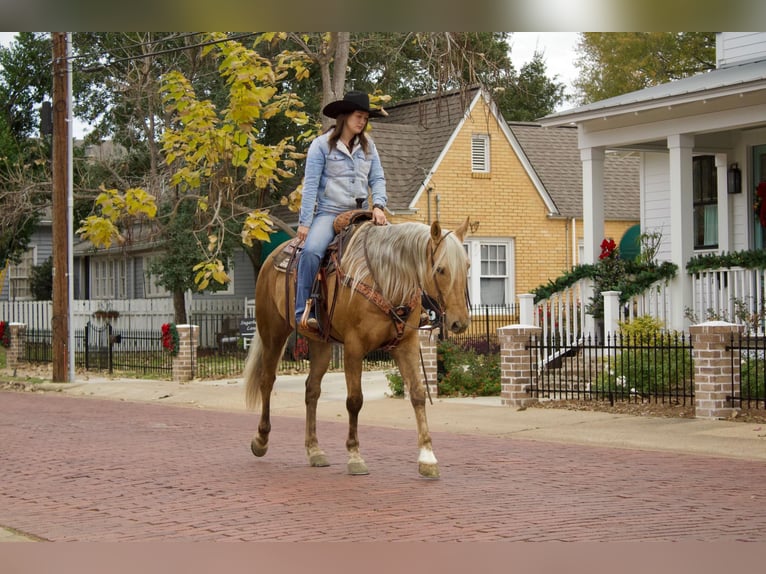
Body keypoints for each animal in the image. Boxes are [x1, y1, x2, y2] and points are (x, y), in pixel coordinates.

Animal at [246, 218, 472, 480]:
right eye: (440, 270)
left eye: (467, 266)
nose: (460, 322)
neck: (385, 281)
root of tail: (273, 256)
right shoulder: (355, 347)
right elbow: (355, 400)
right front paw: (355, 456)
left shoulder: (406, 344)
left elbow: (417, 394)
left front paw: (427, 457)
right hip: (273, 332)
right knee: (267, 381)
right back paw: (261, 440)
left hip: (321, 343)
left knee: (312, 390)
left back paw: (314, 450)